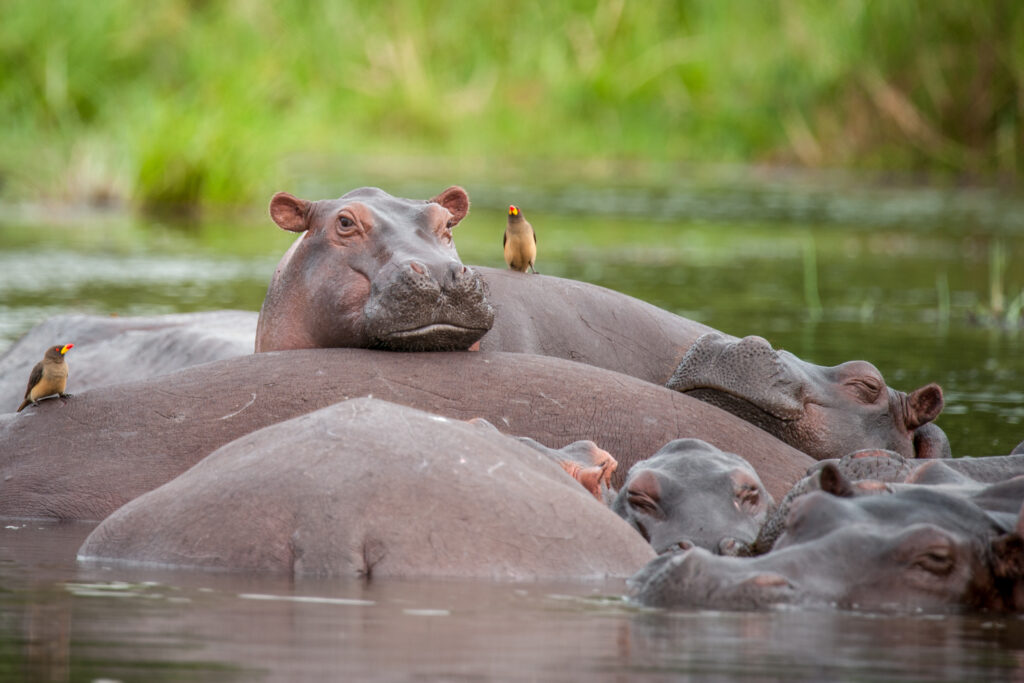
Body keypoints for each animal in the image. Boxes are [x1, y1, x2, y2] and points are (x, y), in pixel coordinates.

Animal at [0, 311, 257, 413]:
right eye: (57, 349)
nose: (69, 345)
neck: (56, 365)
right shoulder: (38, 375)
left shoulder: (62, 381)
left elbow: (62, 391)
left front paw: (67, 394)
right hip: (29, 391)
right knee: (29, 397)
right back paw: (31, 404)